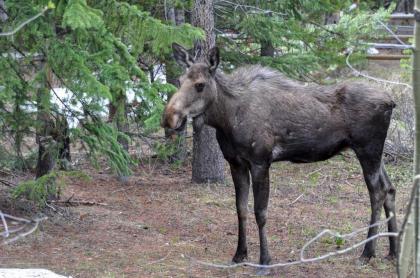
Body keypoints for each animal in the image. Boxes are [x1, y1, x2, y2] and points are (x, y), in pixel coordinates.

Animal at [162, 43, 398, 270]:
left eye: (200, 84)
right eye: (180, 80)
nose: (169, 119)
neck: (226, 119)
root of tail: (391, 101)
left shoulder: (260, 161)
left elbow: (260, 212)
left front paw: (265, 260)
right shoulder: (236, 163)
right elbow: (240, 209)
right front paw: (239, 254)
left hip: (368, 149)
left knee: (377, 192)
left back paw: (367, 253)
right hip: (375, 154)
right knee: (390, 188)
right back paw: (393, 251)